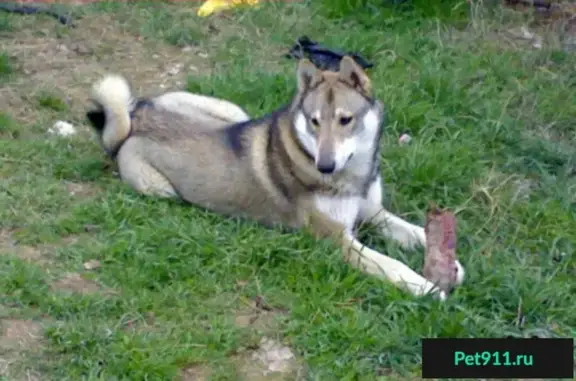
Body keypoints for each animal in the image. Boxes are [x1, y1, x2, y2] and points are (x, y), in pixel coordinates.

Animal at [85, 56, 464, 300]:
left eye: (345, 120)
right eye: (314, 121)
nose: (325, 165)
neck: (351, 176)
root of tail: (135, 120)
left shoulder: (374, 213)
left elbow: (415, 231)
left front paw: (451, 263)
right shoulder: (337, 239)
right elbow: (390, 264)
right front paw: (426, 287)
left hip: (232, 111)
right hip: (159, 189)